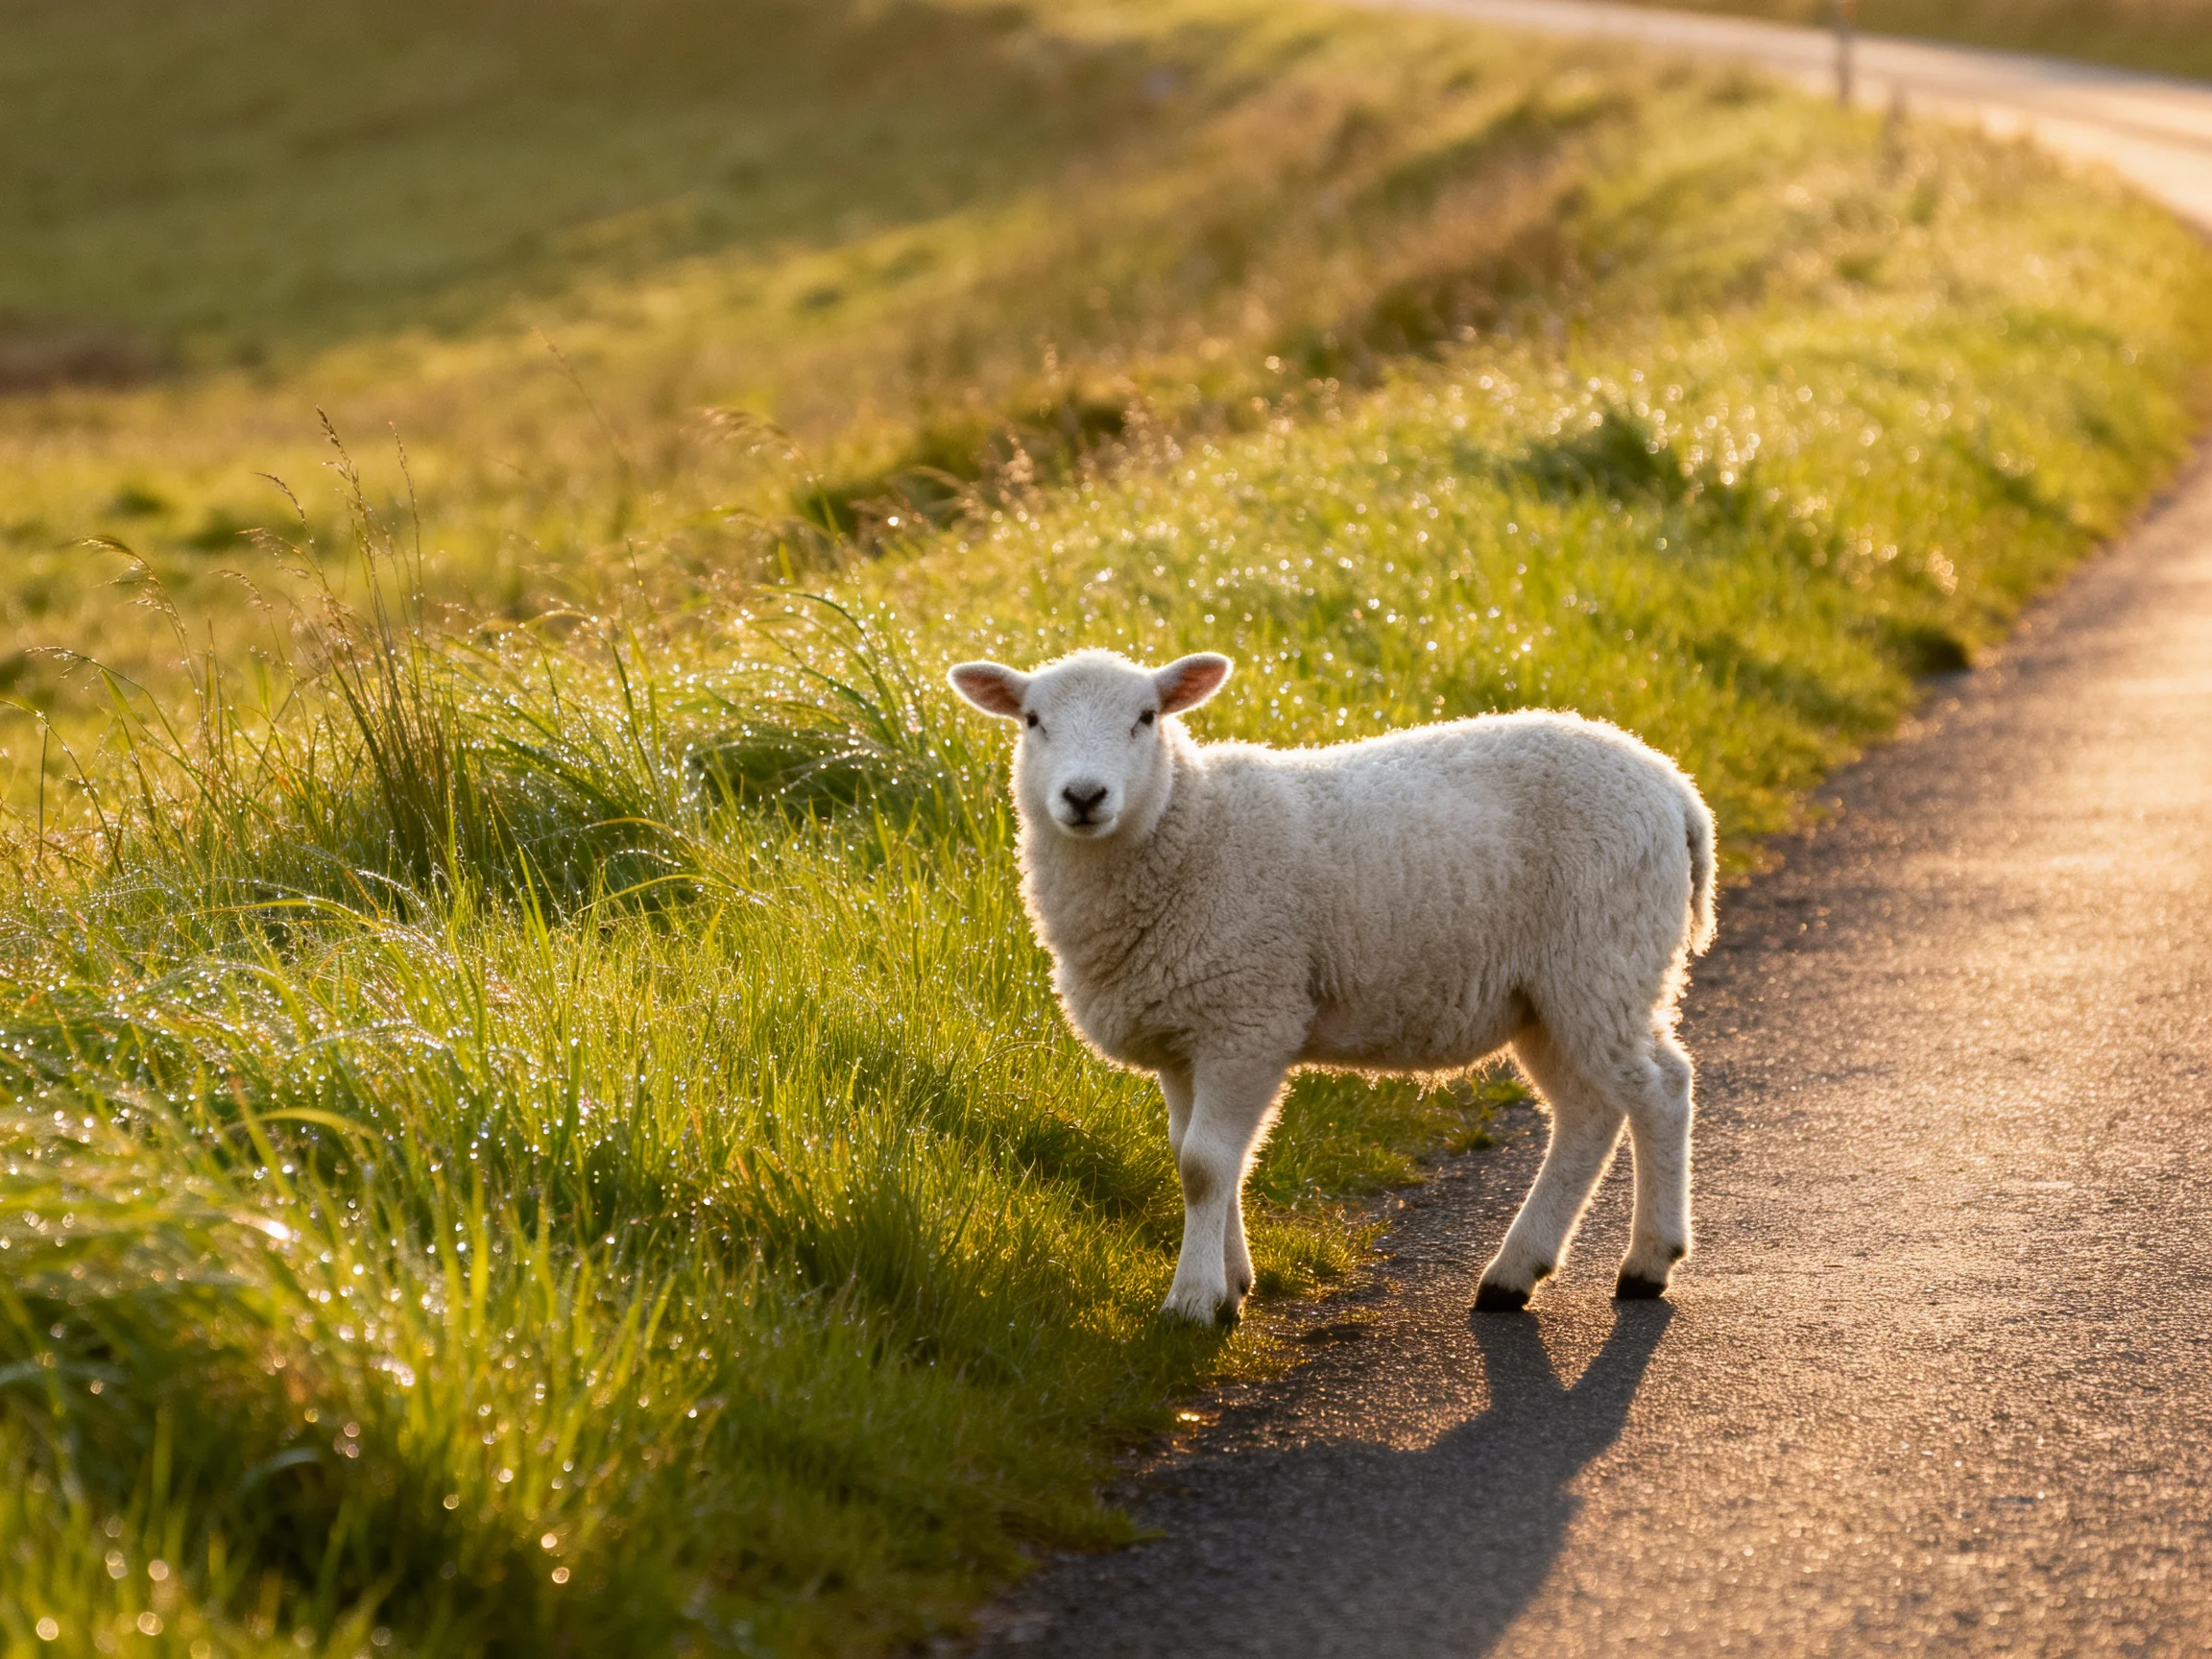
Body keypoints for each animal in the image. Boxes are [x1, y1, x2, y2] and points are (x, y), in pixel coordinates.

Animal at [949, 648, 1716, 1325]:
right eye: (1032, 720)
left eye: (1146, 716)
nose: (1084, 796)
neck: (1190, 828)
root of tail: (1673, 785)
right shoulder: (1184, 1030)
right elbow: (1199, 1156)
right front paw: (1232, 1285)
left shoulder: (1248, 1015)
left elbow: (1204, 1164)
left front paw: (1192, 1302)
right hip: (1547, 997)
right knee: (1589, 1112)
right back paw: (1514, 1274)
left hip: (1602, 957)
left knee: (1660, 1088)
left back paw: (1647, 1262)